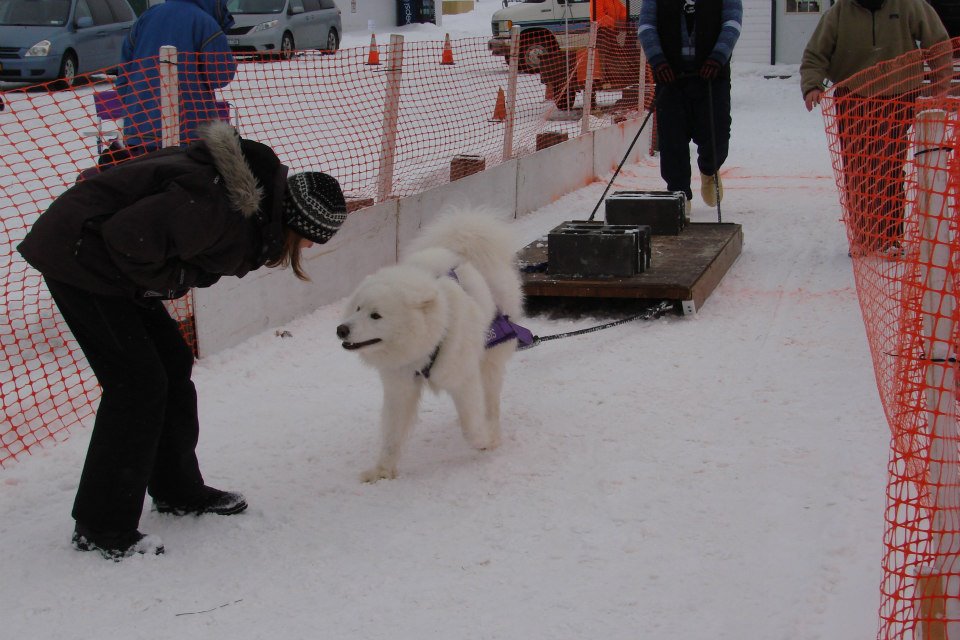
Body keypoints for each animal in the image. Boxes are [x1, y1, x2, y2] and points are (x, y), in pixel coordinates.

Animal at [338, 212, 524, 482]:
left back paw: (492, 430)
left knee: (490, 400)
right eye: (358, 308)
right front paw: (382, 471)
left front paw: (484, 441)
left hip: (490, 357)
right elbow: (391, 436)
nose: (341, 329)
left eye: (376, 315)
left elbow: (470, 425)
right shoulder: (400, 387)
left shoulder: (462, 378)